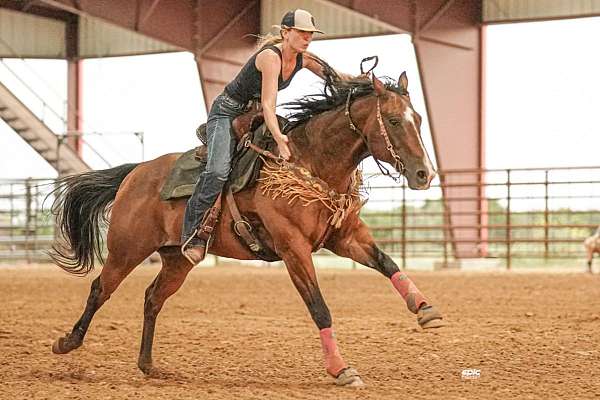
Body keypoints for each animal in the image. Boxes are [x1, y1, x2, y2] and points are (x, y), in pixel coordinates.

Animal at [51, 70, 442, 386]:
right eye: (393, 120)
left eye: (420, 119)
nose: (424, 174)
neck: (311, 162)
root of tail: (136, 172)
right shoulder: (293, 248)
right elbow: (319, 307)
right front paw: (340, 369)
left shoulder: (345, 237)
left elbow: (387, 263)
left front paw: (425, 309)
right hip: (127, 249)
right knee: (100, 289)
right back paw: (67, 343)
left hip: (177, 258)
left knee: (152, 298)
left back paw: (148, 365)